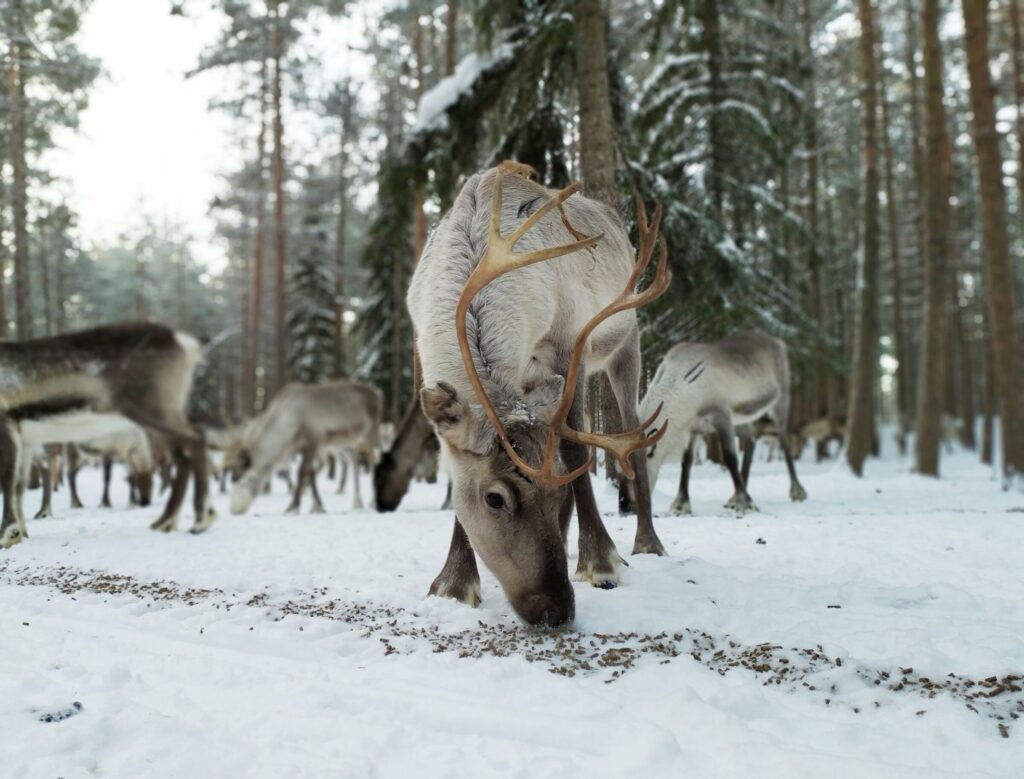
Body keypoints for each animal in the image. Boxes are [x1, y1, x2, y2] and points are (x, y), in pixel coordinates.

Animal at [0, 322, 216, 548]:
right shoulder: (25, 439)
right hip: (160, 417)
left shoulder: (5, 422)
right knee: (183, 455)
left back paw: (200, 520)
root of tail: (184, 341)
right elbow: (19, 485)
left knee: (195, 439)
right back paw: (166, 521)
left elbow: (7, 479)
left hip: (154, 410)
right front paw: (22, 532)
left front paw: (8, 533)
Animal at [228, 380, 382, 515]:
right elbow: (311, 473)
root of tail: (376, 394)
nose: (234, 509)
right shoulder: (301, 448)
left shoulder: (313, 441)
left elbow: (302, 472)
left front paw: (293, 507)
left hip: (368, 436)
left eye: (244, 480)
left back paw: (373, 502)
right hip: (346, 444)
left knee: (374, 461)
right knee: (354, 463)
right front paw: (317, 506)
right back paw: (357, 502)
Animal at [408, 161, 670, 628]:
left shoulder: (569, 346)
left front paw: (601, 561)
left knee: (633, 437)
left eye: (559, 496)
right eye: (494, 499)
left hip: (626, 343)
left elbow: (575, 450)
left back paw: (647, 543)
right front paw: (454, 583)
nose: (557, 608)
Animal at [636, 331, 807, 516]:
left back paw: (797, 491)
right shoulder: (694, 428)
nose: (627, 503)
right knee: (751, 439)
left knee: (783, 438)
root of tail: (778, 341)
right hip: (743, 417)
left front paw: (745, 503)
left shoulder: (721, 415)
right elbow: (686, 462)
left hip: (781, 399)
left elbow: (730, 457)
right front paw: (681, 503)